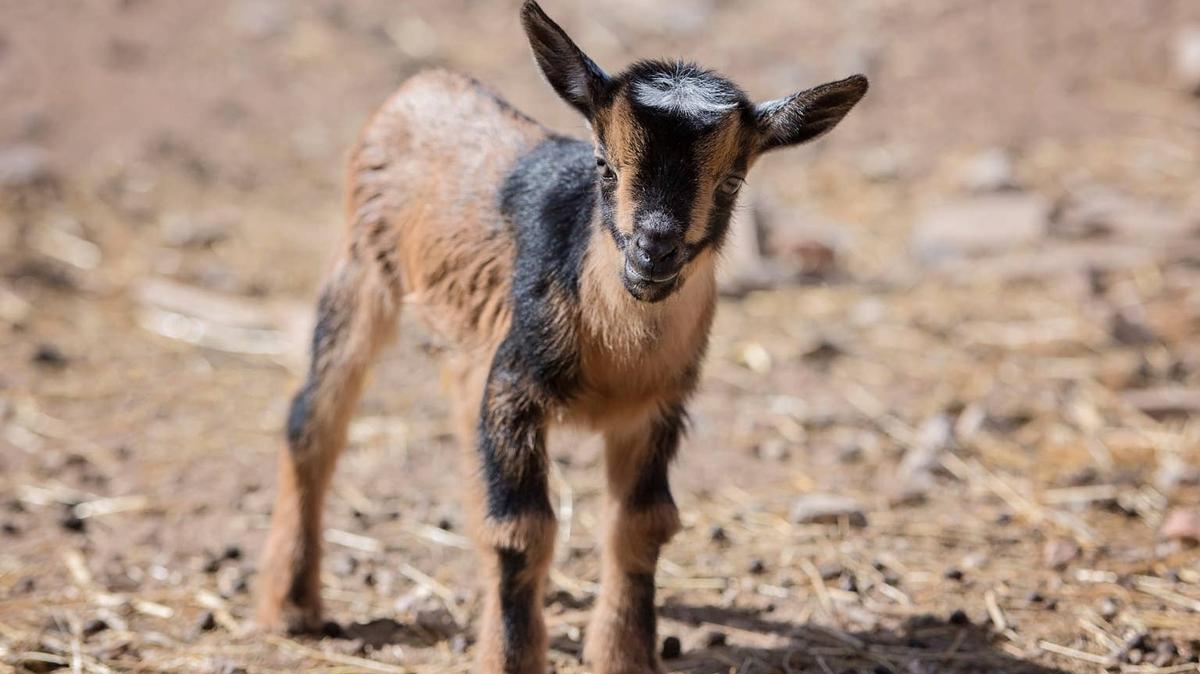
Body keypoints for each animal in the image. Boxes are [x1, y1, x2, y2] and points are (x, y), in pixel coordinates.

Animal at [256, 2, 868, 672]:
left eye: (732, 181)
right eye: (604, 164)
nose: (654, 251)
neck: (618, 352)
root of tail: (421, 86)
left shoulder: (654, 408)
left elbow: (642, 523)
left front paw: (624, 655)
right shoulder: (515, 389)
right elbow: (523, 529)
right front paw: (512, 658)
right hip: (363, 266)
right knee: (313, 418)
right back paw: (293, 605)